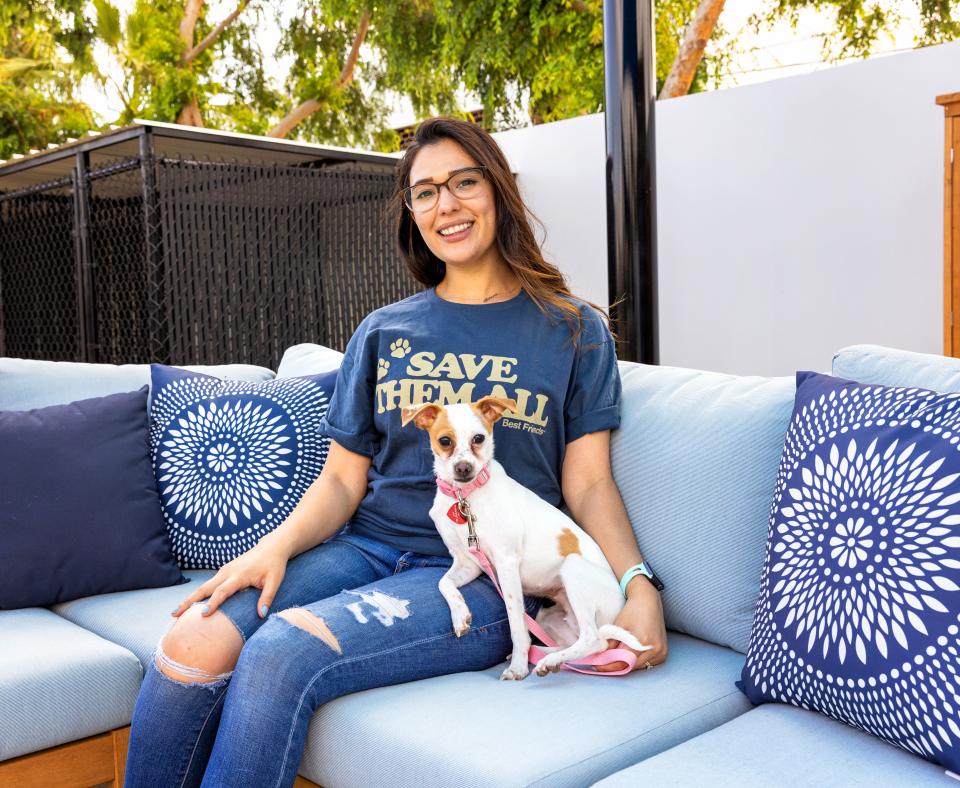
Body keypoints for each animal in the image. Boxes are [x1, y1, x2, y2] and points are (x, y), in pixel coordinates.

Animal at [398, 398, 644, 680]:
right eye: (445, 440)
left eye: (479, 438)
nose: (464, 468)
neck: (465, 498)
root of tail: (619, 608)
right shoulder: (467, 563)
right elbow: (444, 583)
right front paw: (460, 615)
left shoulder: (506, 564)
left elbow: (516, 624)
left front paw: (517, 666)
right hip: (550, 615)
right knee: (578, 643)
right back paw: (548, 657)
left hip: (573, 569)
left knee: (594, 640)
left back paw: (547, 660)